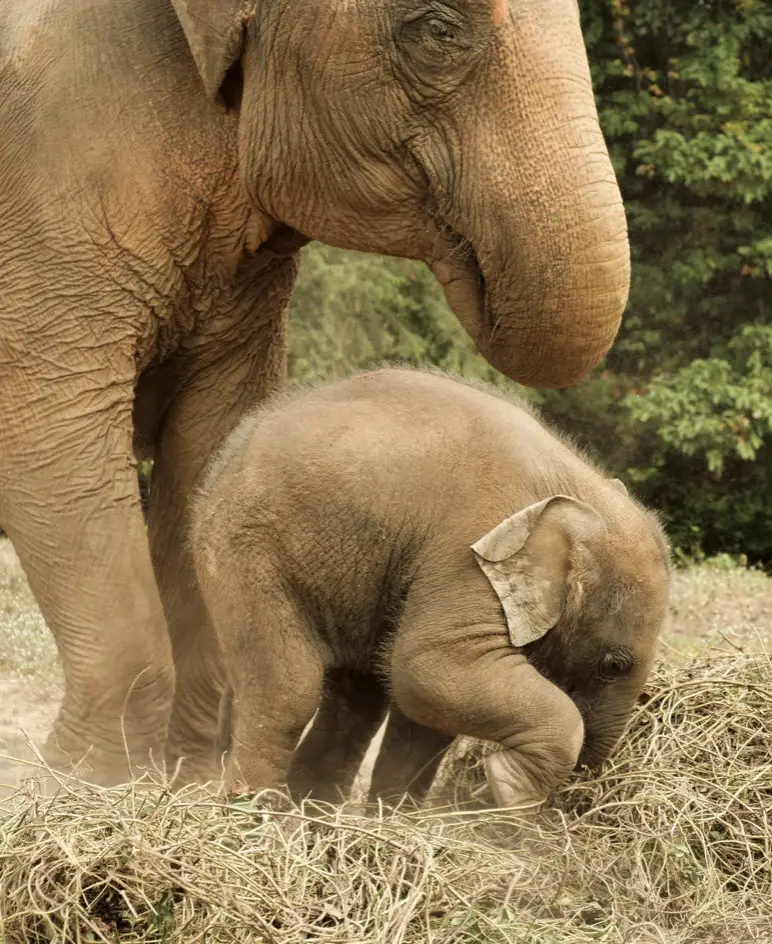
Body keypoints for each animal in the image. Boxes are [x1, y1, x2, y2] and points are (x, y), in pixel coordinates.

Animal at [0, 0, 632, 784]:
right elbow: (49, 431)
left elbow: (208, 443)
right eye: (438, 30)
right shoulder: (45, 179)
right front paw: (84, 784)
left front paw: (182, 781)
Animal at [193, 366, 668, 808]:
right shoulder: (465, 549)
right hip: (246, 546)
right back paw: (258, 817)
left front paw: (399, 816)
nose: (577, 796)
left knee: (358, 703)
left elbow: (425, 711)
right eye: (613, 665)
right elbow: (428, 666)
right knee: (289, 689)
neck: (574, 486)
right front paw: (507, 788)